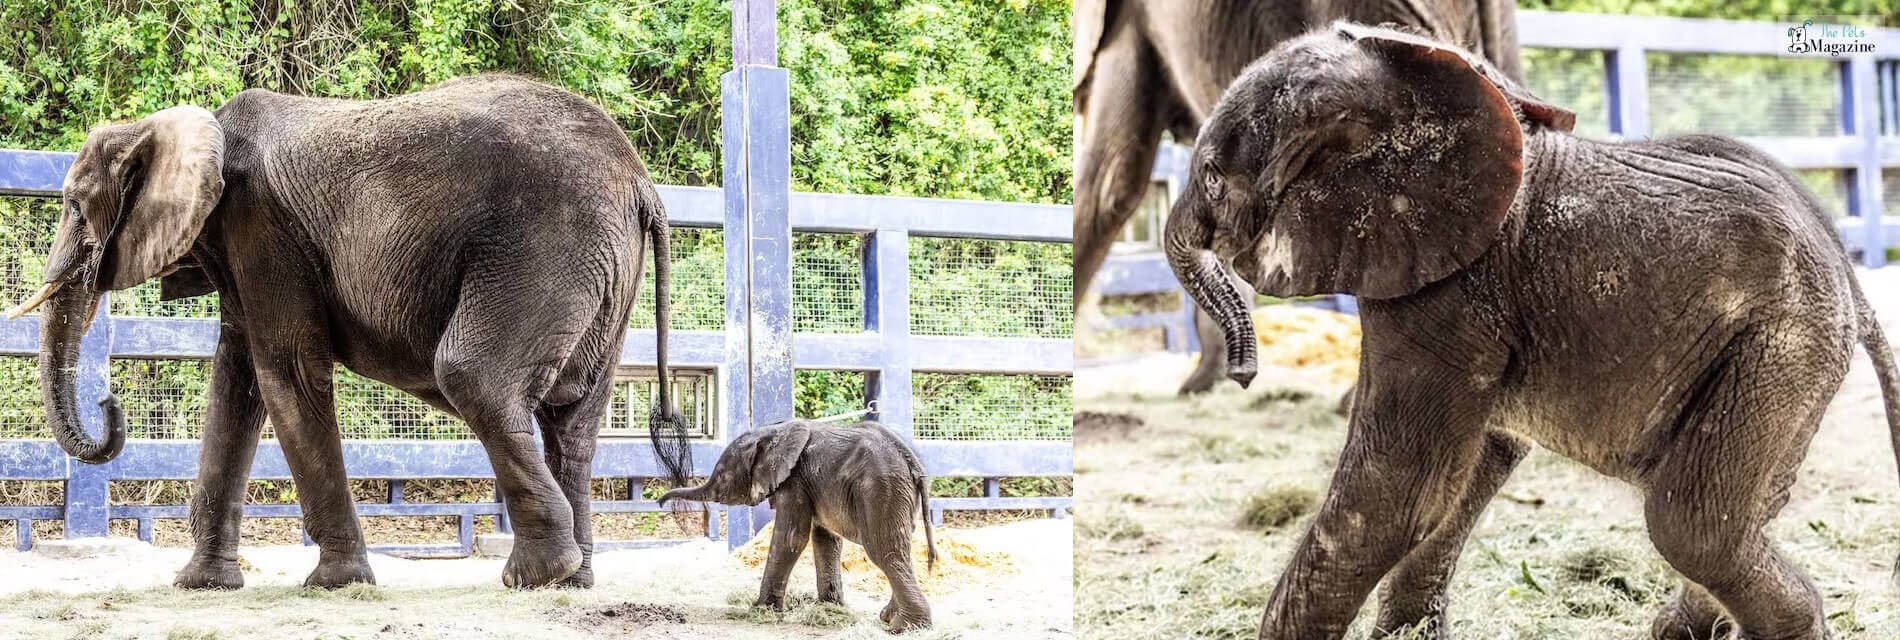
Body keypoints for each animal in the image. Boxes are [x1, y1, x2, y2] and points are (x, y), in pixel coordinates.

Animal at [9, 75, 691, 588]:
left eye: (74, 208)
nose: (110, 404)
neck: (181, 126)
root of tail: (643, 184)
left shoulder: (263, 229)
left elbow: (284, 373)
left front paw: (336, 583)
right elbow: (235, 386)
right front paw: (200, 586)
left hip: (546, 243)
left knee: (475, 378)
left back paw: (538, 575)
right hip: (603, 270)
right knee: (572, 418)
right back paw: (574, 580)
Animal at [661, 415, 942, 630]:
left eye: (721, 475)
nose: (662, 502)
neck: (773, 431)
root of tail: (913, 463)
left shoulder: (794, 481)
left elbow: (791, 540)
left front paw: (761, 611)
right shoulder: (813, 485)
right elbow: (826, 541)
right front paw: (829, 609)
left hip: (881, 489)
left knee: (885, 551)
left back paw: (905, 627)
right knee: (901, 550)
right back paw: (888, 618)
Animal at [1162, 22, 1892, 634]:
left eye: (1212, 176)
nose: (1243, 375)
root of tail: (1850, 276)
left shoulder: (1452, 288)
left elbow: (1402, 489)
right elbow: (1468, 471)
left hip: (1781, 343)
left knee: (1692, 525)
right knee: (1741, 512)